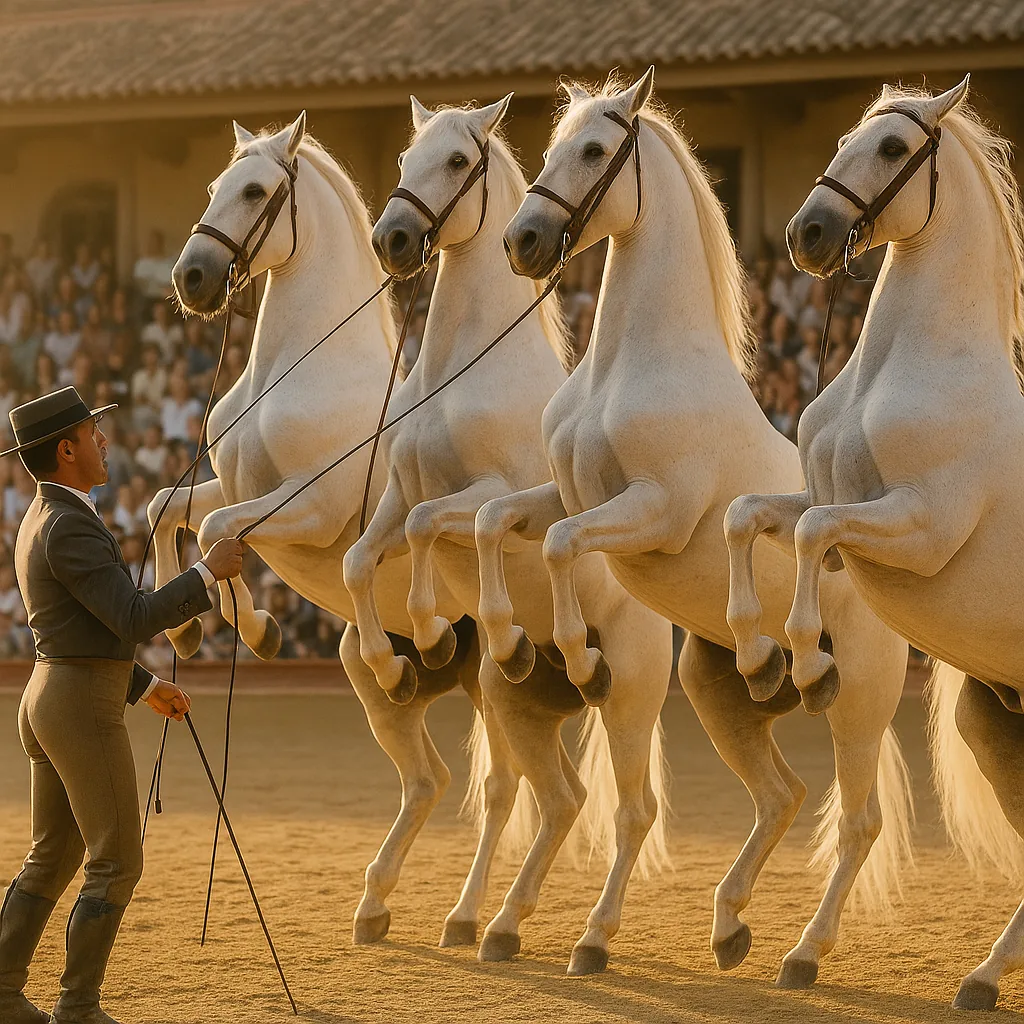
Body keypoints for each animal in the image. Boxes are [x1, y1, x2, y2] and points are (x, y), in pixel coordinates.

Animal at [153, 112, 488, 947]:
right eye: (215, 184)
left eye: (254, 192)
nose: (191, 280)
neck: (296, 369)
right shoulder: (235, 485)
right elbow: (167, 511)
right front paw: (192, 632)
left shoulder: (304, 511)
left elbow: (217, 536)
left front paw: (259, 629)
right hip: (376, 687)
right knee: (432, 781)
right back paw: (376, 906)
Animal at [343, 94, 674, 974]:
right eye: (404, 156)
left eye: (458, 162)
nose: (392, 239)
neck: (460, 374)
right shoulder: (397, 495)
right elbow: (362, 556)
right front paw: (398, 654)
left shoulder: (483, 495)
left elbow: (446, 525)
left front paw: (430, 630)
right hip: (515, 711)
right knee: (551, 799)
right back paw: (481, 922)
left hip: (627, 699)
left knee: (625, 809)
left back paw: (581, 937)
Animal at [486, 68, 913, 988]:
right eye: (552, 144)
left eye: (595, 150)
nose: (523, 241)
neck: (632, 365)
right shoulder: (566, 495)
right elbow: (498, 519)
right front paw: (511, 645)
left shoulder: (654, 513)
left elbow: (560, 546)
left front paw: (578, 657)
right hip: (716, 697)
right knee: (781, 795)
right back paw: (725, 927)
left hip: (858, 699)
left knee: (854, 821)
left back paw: (788, 953)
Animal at [726, 77, 1024, 1011]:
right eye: (844, 138)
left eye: (894, 149)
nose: (809, 235)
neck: (909, 367)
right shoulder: (824, 496)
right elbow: (748, 515)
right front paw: (758, 658)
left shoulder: (916, 526)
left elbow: (810, 535)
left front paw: (810, 664)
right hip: (993, 724)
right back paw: (972, 976)